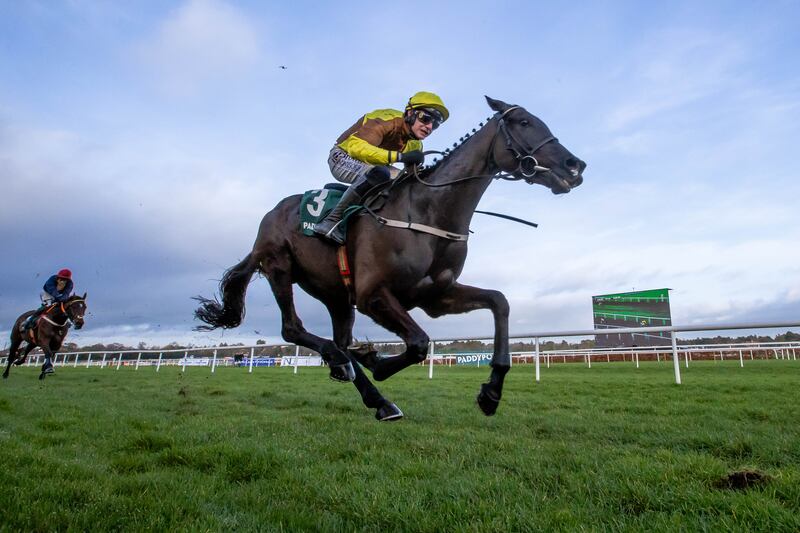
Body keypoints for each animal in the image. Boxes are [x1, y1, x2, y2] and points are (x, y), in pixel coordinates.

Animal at [196, 95, 584, 420]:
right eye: (523, 122)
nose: (575, 165)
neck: (430, 211)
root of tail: (272, 213)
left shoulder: (436, 296)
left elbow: (499, 302)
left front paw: (491, 393)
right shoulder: (373, 295)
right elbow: (419, 343)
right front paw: (378, 362)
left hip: (337, 295)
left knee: (340, 339)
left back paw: (374, 396)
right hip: (279, 266)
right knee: (295, 329)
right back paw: (344, 363)